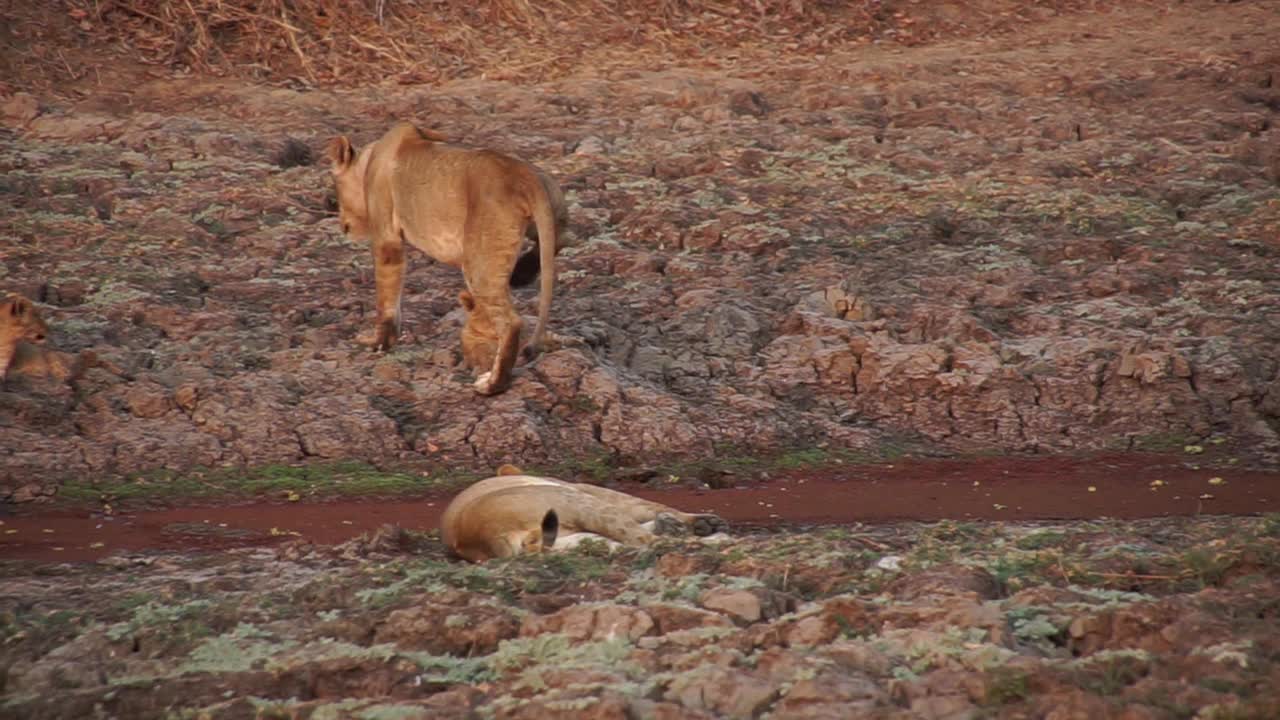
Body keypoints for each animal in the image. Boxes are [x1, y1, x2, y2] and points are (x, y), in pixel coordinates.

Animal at [327, 121, 568, 394]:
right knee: (561, 239)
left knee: (511, 322)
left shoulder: (387, 237)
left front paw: (378, 343)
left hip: (479, 259)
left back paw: (492, 384)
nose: (342, 224)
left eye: (335, 188)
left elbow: (387, 301)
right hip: (552, 207)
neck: (369, 160)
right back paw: (521, 274)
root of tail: (526, 178)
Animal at [442, 466, 732, 561]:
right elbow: (652, 507)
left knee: (631, 542)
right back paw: (720, 540)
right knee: (648, 541)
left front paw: (672, 523)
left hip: (576, 538)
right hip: (578, 500)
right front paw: (697, 522)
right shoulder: (590, 491)